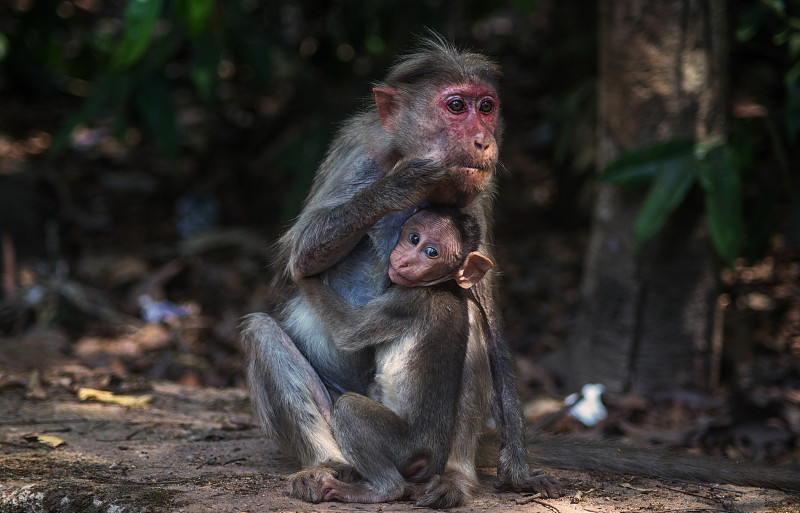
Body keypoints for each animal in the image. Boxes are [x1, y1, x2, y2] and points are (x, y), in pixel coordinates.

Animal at [296, 203, 494, 504]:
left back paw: (382, 489)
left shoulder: (404, 302)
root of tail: (431, 458)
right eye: (413, 238)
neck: (439, 286)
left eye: (431, 252)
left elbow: (348, 332)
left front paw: (301, 272)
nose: (405, 261)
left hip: (403, 446)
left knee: (351, 409)